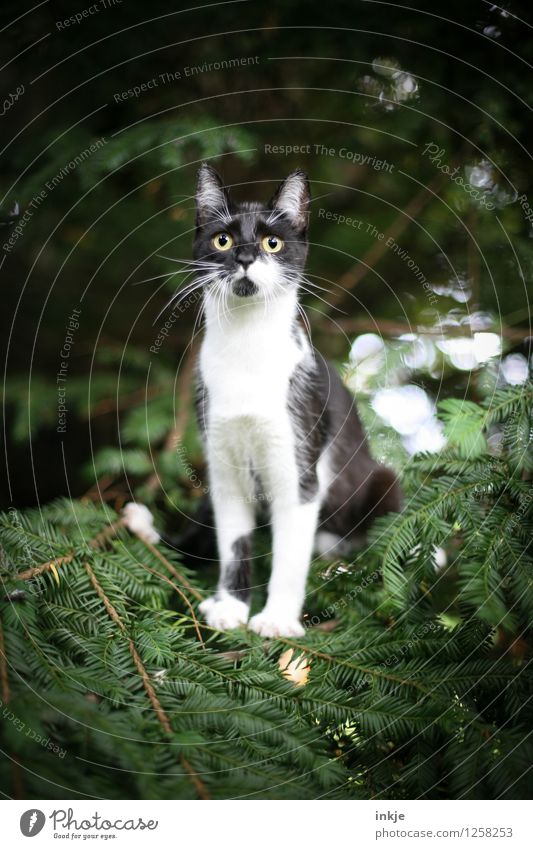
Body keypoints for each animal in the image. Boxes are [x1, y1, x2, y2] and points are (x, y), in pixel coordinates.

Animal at [123, 164, 400, 636]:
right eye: (223, 240)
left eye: (273, 242)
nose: (246, 257)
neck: (246, 349)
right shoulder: (222, 461)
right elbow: (234, 541)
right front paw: (231, 606)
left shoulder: (299, 459)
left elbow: (290, 555)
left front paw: (277, 620)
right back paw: (145, 528)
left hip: (380, 481)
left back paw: (340, 561)